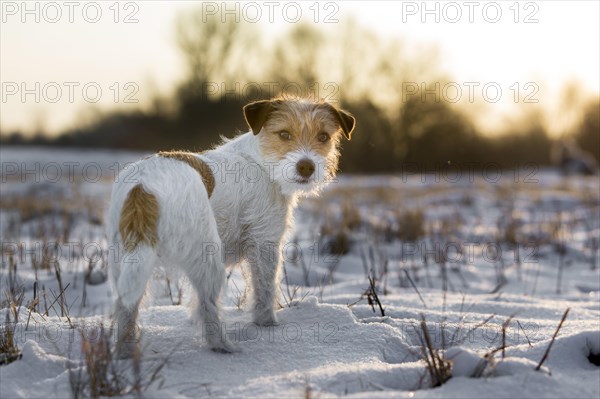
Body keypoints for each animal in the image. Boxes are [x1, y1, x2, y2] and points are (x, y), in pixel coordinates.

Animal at [106, 97, 354, 356]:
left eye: (323, 136)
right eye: (284, 134)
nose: (306, 167)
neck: (262, 160)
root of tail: (143, 187)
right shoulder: (265, 242)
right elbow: (265, 287)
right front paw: (267, 323)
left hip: (124, 263)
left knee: (126, 307)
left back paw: (125, 352)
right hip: (207, 257)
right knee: (207, 306)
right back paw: (224, 346)